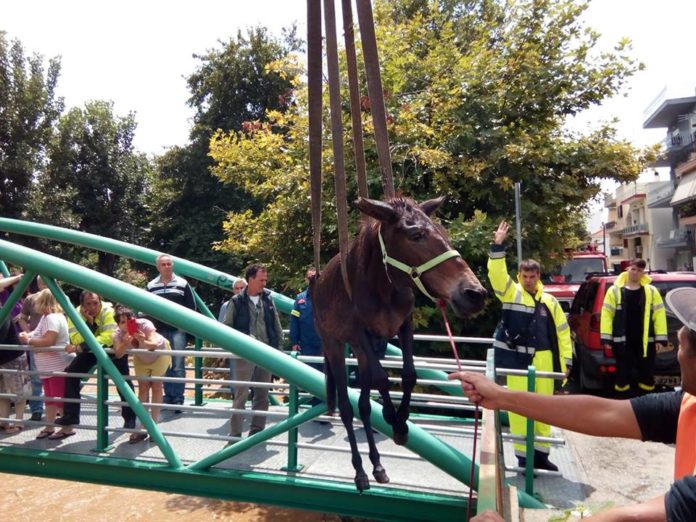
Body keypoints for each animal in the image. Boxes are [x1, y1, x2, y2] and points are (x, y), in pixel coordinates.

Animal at [312, 194, 486, 488]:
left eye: (445, 233)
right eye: (415, 235)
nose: (474, 294)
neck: (382, 287)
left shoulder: (403, 326)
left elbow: (408, 375)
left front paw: (402, 423)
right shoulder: (361, 334)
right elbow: (383, 379)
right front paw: (392, 418)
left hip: (359, 352)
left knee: (363, 406)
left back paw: (377, 465)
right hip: (334, 345)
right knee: (347, 408)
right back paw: (360, 472)